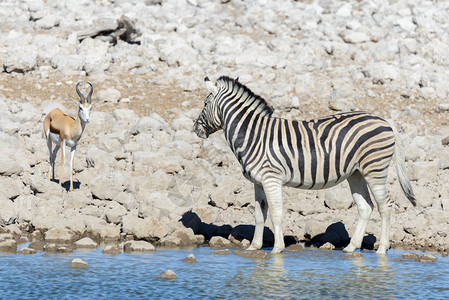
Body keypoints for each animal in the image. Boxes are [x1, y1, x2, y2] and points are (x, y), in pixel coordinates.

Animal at [194, 76, 414, 254]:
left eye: (204, 103)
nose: (195, 129)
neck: (252, 135)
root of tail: (385, 121)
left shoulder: (271, 178)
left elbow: (276, 213)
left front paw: (277, 248)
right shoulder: (258, 182)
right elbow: (259, 214)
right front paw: (254, 247)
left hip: (374, 170)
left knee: (385, 206)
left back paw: (382, 249)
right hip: (356, 173)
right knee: (365, 207)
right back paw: (351, 247)